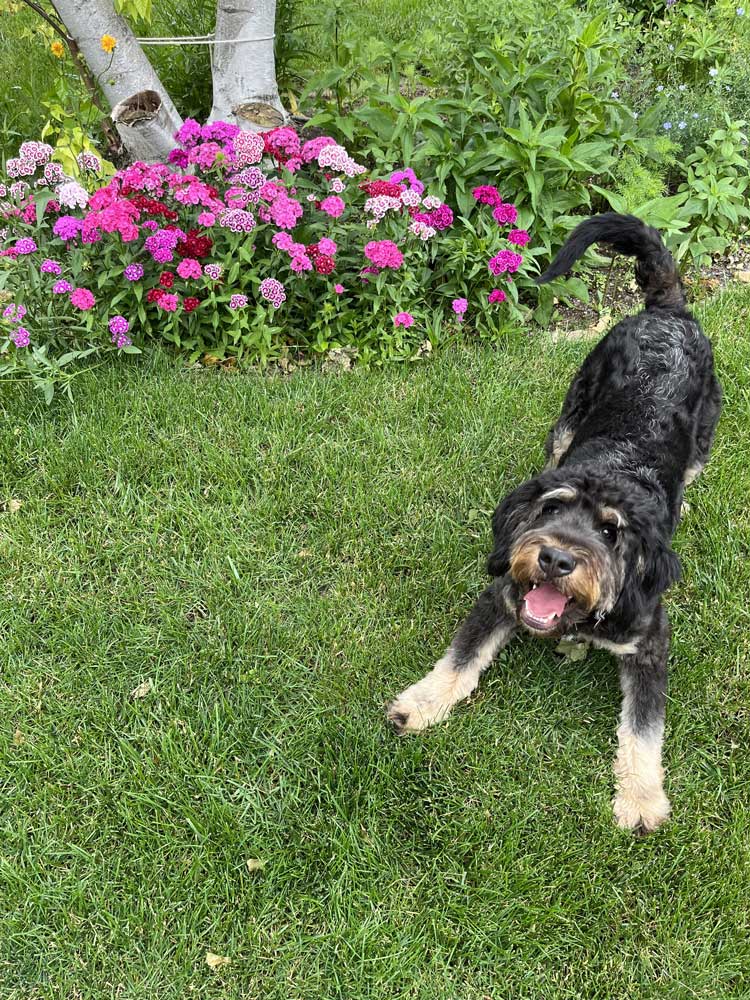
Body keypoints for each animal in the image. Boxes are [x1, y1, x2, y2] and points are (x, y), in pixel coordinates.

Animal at [388, 213, 724, 836]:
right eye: (551, 509)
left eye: (612, 531)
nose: (555, 558)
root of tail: (669, 310)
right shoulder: (502, 594)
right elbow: (459, 660)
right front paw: (421, 703)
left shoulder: (650, 641)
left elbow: (645, 728)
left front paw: (641, 797)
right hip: (570, 413)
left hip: (703, 435)